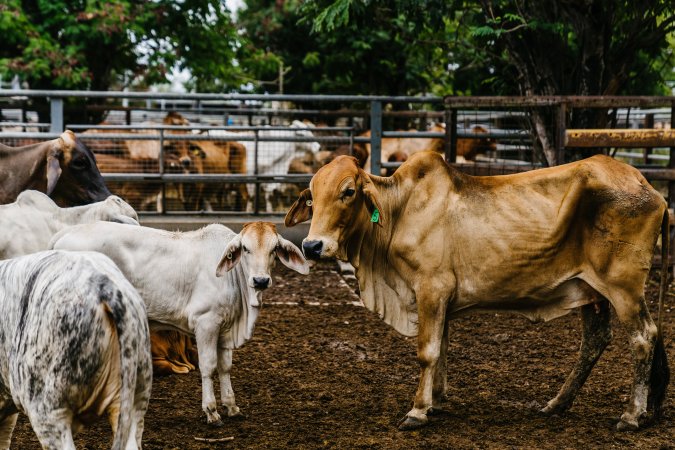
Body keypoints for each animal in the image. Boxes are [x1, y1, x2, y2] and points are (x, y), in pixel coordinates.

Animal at [51, 221, 310, 426]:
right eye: (245, 248)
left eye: (274, 249)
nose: (260, 280)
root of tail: (63, 234)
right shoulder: (206, 322)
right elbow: (208, 367)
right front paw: (212, 411)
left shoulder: (225, 330)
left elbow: (225, 367)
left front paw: (231, 406)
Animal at [286, 152, 672, 432]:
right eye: (312, 197)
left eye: (348, 191)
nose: (312, 245)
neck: (400, 211)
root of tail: (648, 187)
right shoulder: (440, 298)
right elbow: (442, 348)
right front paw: (436, 401)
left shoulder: (431, 288)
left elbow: (428, 352)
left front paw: (417, 410)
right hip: (593, 292)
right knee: (598, 340)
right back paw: (559, 405)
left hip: (623, 287)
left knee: (643, 337)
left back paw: (631, 416)